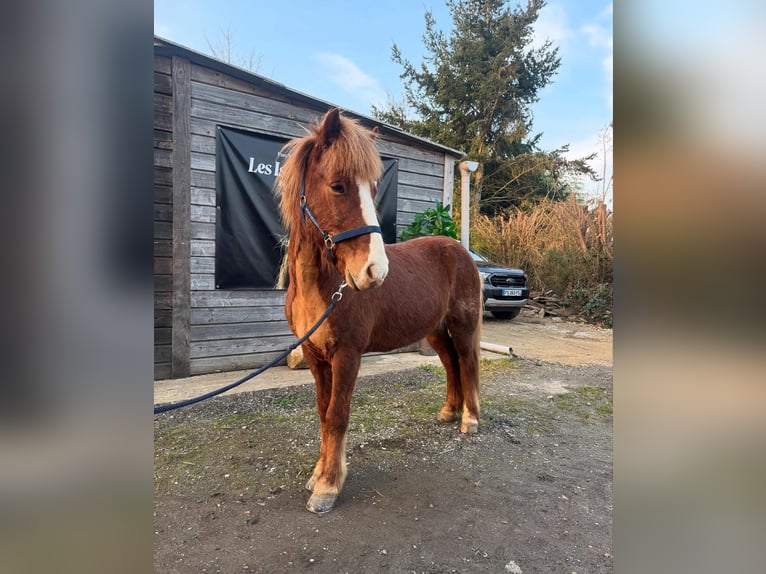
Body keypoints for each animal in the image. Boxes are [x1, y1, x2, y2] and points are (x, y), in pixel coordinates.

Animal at [276, 108, 482, 515]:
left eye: (373, 190)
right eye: (338, 186)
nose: (374, 272)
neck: (321, 287)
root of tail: (462, 251)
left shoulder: (348, 354)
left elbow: (337, 415)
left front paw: (328, 486)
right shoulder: (313, 353)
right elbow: (322, 412)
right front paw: (319, 474)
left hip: (463, 326)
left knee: (467, 363)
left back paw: (469, 420)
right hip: (435, 331)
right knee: (451, 363)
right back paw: (449, 411)